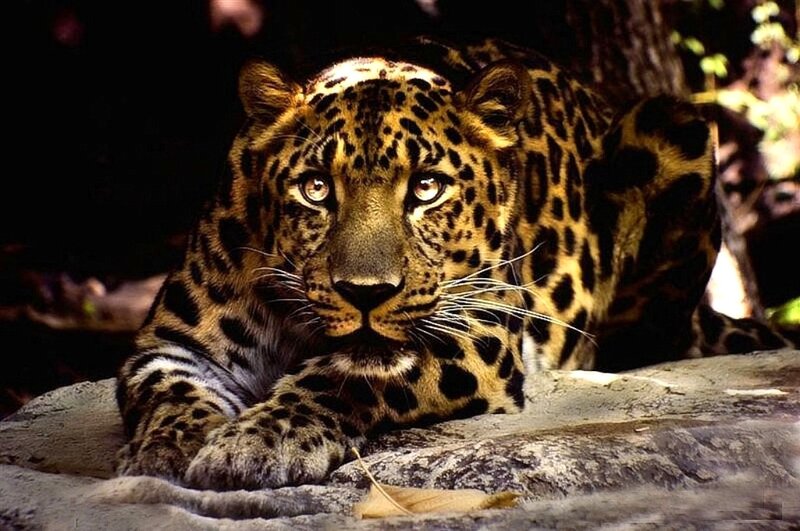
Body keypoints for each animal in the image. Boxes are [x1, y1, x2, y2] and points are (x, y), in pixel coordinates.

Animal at [116, 37, 796, 490]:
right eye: (315, 188)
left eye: (426, 188)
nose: (366, 293)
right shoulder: (173, 343)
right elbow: (167, 393)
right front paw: (167, 449)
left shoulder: (480, 330)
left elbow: (345, 377)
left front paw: (261, 439)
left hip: (673, 122)